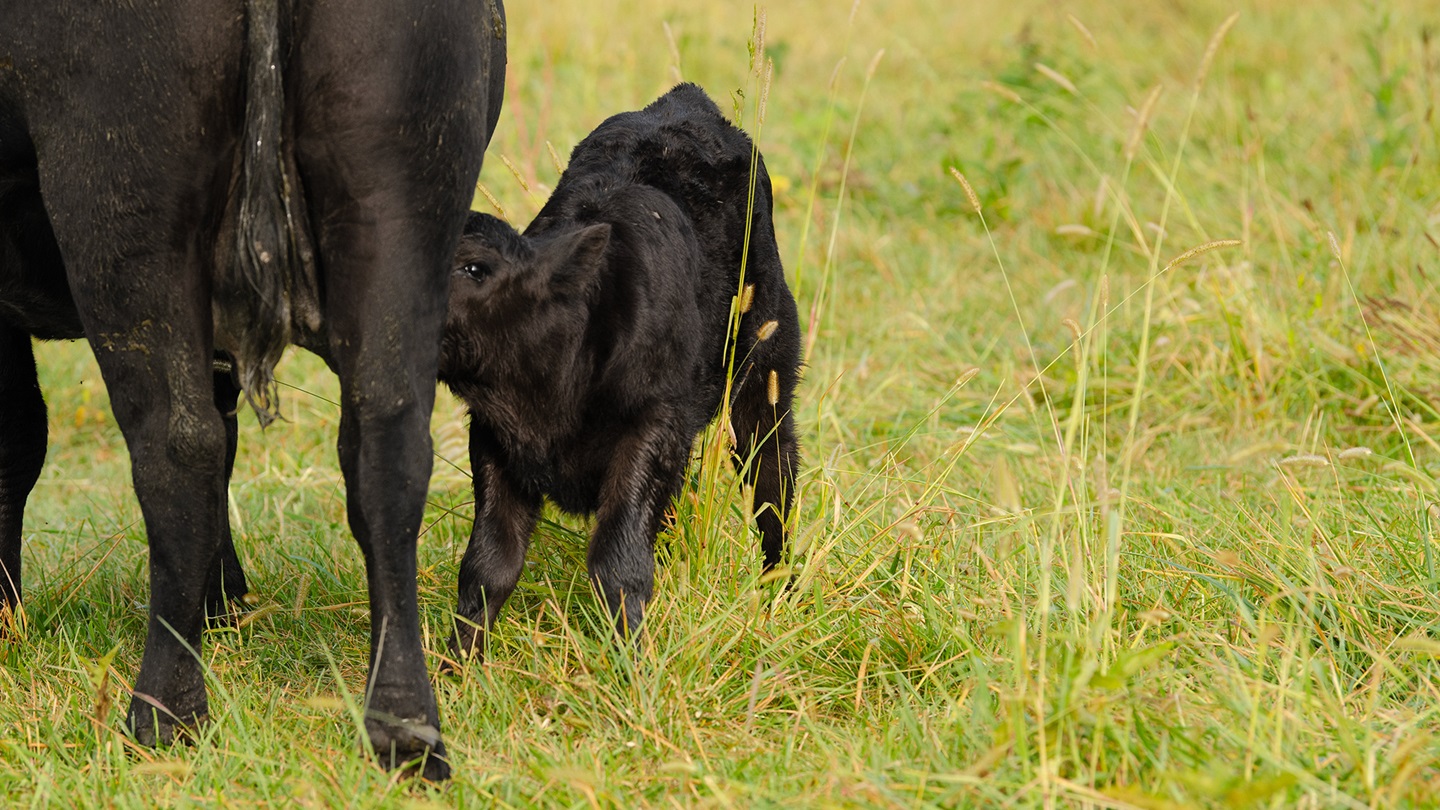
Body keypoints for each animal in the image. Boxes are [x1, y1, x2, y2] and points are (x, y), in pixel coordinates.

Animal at [0, 0, 506, 779]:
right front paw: (224, 602)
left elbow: (15, 442)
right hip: (398, 196)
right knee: (386, 447)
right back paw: (404, 731)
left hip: (120, 204)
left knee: (177, 451)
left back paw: (163, 718)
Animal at [437, 83, 802, 663]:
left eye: (474, 269)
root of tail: (682, 102)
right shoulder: (494, 438)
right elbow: (488, 564)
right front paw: (458, 667)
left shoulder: (652, 426)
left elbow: (617, 559)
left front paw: (634, 663)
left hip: (765, 372)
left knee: (773, 480)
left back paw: (778, 595)